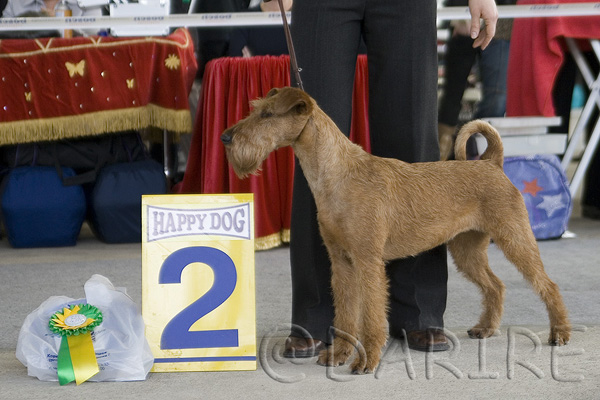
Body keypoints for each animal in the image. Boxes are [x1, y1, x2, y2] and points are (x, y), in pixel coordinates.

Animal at [220, 86, 572, 374]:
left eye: (267, 114)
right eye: (256, 109)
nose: (226, 137)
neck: (338, 175)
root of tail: (490, 162)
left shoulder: (368, 261)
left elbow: (372, 316)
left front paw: (366, 362)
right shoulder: (341, 261)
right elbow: (345, 313)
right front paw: (339, 354)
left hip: (515, 238)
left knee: (549, 285)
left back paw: (560, 333)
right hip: (466, 249)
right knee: (495, 285)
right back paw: (485, 329)